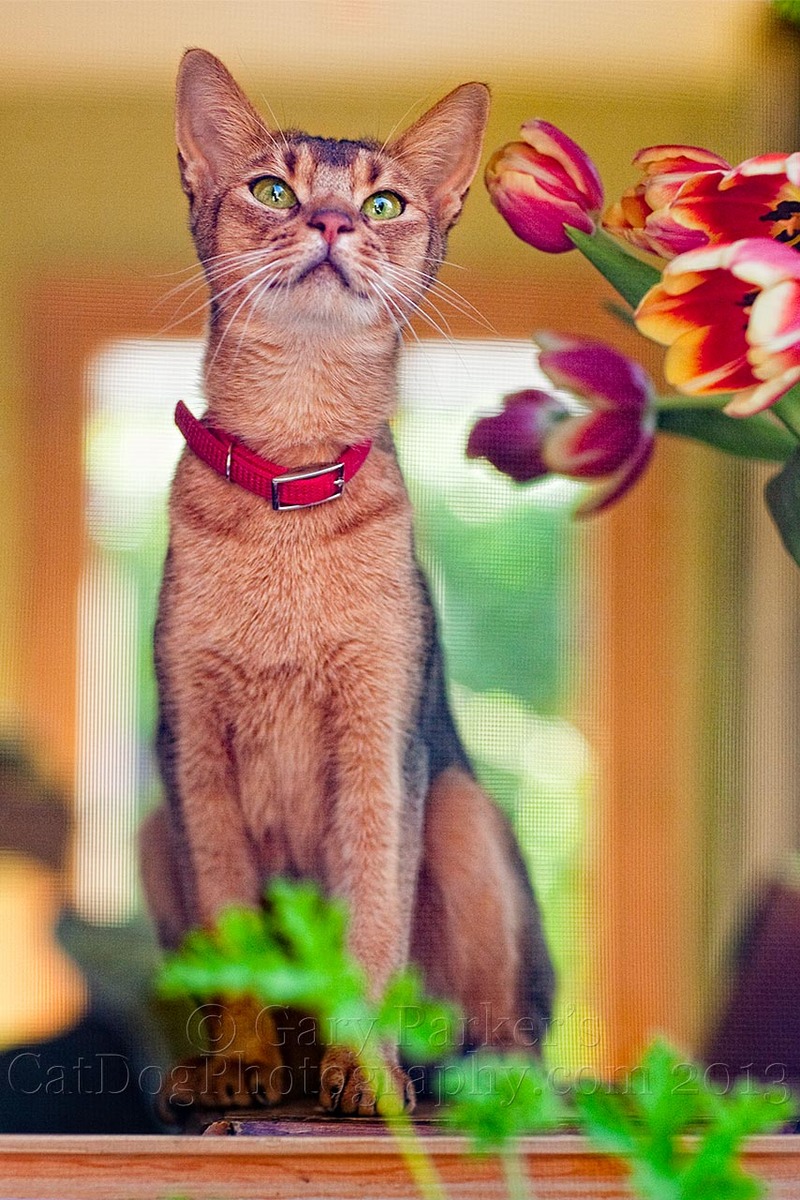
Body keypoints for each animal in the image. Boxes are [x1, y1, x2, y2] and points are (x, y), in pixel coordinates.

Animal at [140, 46, 554, 1113]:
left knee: (510, 1039)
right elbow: (237, 935)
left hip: (458, 808)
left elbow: (371, 917)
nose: (330, 223)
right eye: (272, 189)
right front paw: (240, 1065)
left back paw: (456, 1082)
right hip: (156, 832)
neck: (291, 474)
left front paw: (362, 1073)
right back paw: (240, 1070)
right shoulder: (194, 751)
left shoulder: (379, 735)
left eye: (384, 204)